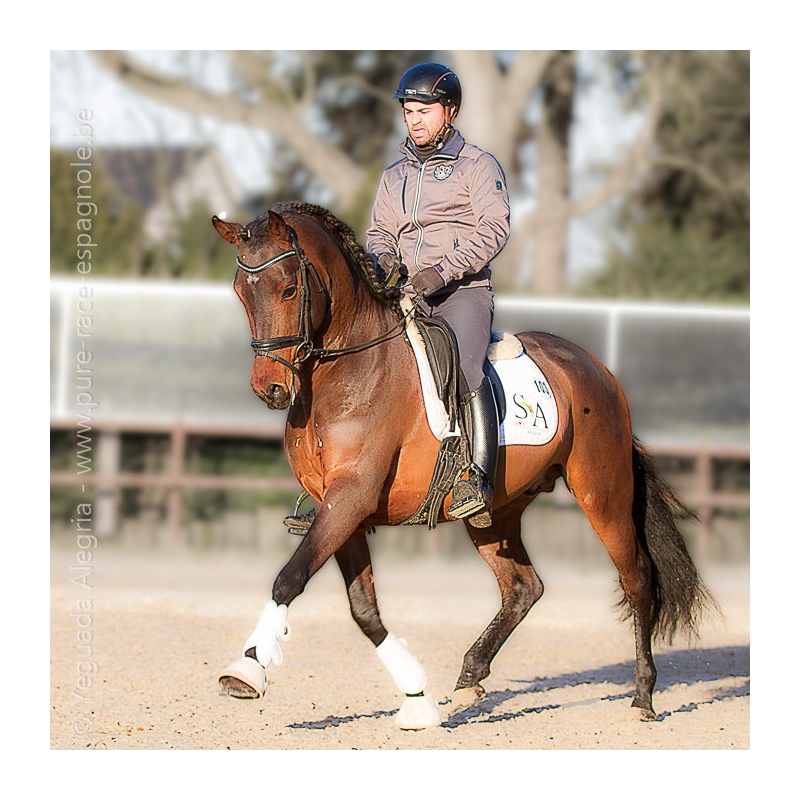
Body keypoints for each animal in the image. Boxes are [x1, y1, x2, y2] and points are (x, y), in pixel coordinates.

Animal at [211, 201, 713, 730]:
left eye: (288, 288)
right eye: (241, 293)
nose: (269, 389)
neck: (345, 372)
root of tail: (597, 369)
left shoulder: (351, 497)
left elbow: (290, 577)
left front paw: (247, 668)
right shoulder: (340, 509)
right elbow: (364, 609)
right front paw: (417, 697)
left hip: (603, 493)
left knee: (636, 578)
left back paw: (643, 696)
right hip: (496, 512)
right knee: (523, 588)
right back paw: (471, 676)